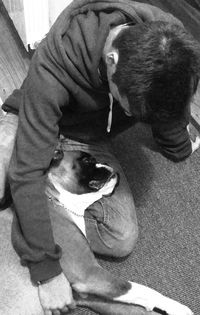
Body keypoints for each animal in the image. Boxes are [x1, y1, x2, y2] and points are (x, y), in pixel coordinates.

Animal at [45, 150, 192, 315]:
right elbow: (141, 289)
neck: (60, 203)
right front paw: (178, 307)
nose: (107, 163)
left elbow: (132, 306)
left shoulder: (87, 295)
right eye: (87, 160)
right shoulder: (89, 274)